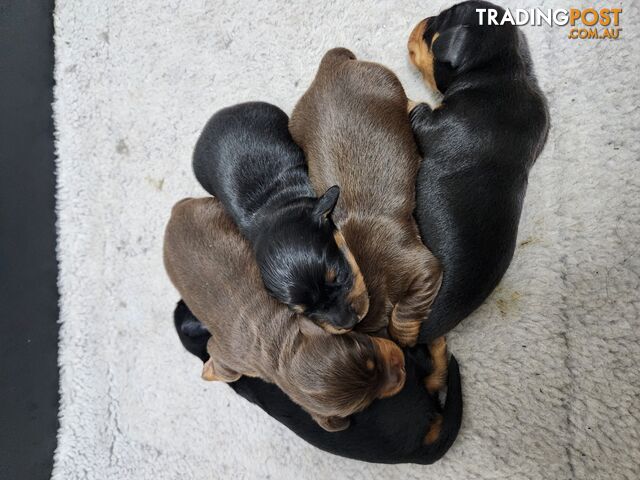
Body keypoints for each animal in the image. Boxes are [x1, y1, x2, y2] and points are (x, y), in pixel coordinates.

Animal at [165, 197, 404, 434]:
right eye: (368, 402)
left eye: (365, 345)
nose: (402, 367)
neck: (283, 345)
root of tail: (175, 211)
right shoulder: (229, 355)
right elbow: (226, 368)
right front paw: (208, 371)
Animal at [288, 48, 442, 346]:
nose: (346, 324)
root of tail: (331, 65)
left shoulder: (423, 269)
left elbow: (405, 312)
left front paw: (405, 335)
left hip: (386, 83)